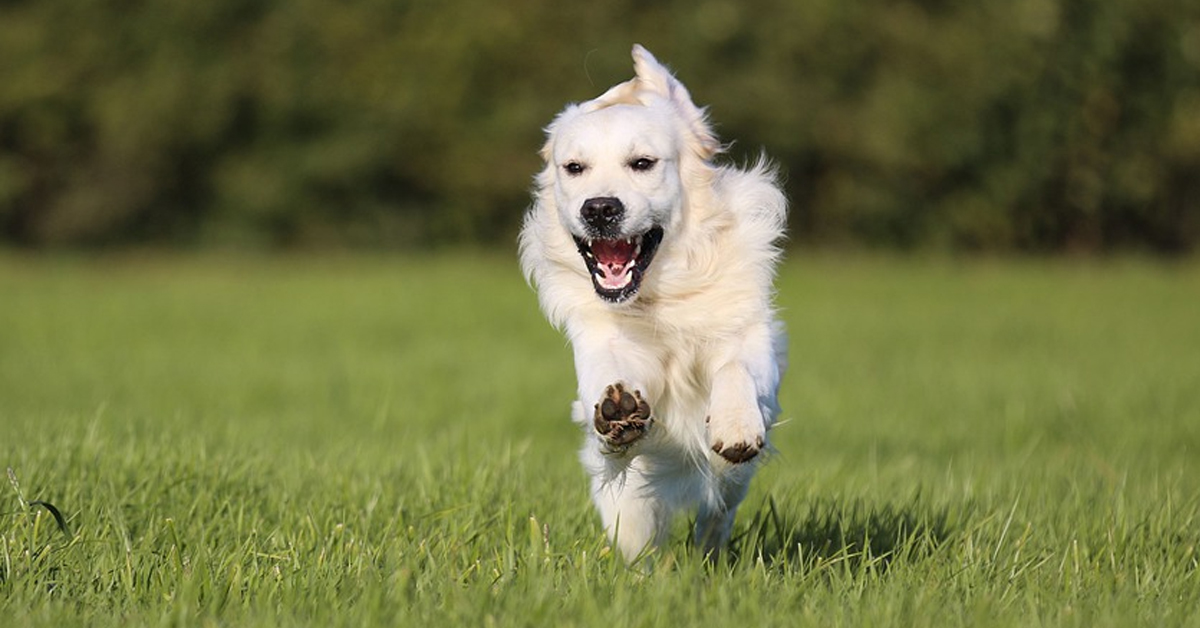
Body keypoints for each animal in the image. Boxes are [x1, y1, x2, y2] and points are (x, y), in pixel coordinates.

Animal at [518, 46, 787, 561]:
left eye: (642, 163)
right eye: (574, 168)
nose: (600, 208)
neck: (661, 293)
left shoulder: (749, 337)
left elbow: (735, 368)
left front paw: (735, 423)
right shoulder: (601, 346)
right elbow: (609, 381)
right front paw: (617, 412)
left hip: (731, 487)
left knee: (715, 517)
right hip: (627, 502)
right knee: (639, 538)